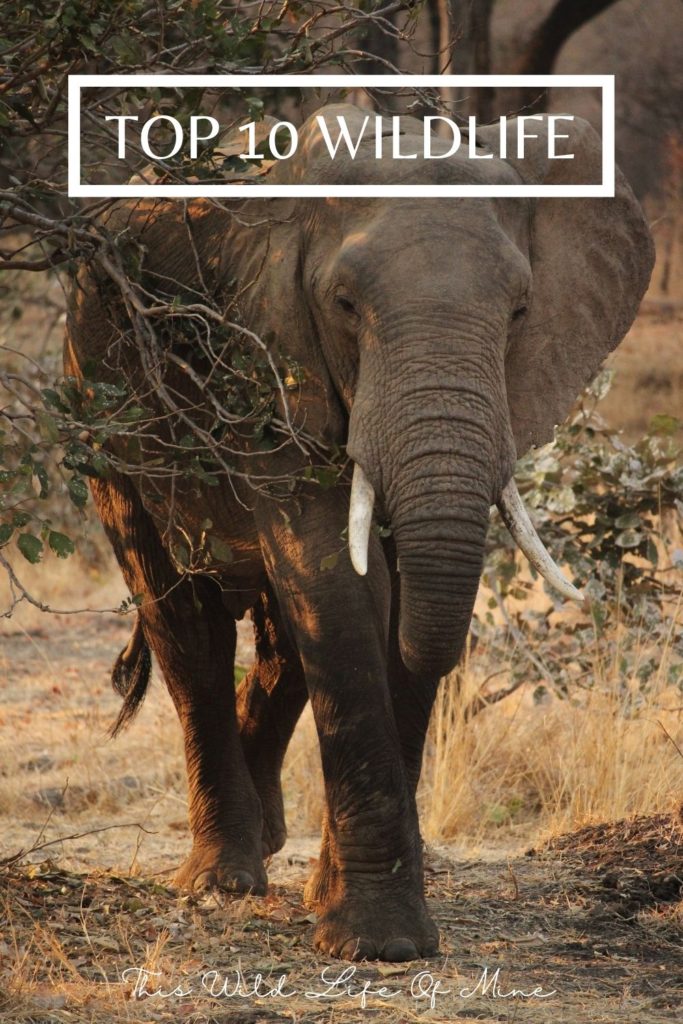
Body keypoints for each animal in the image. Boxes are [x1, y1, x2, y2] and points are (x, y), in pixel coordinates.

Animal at [65, 104, 654, 962]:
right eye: (343, 304)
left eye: (519, 311)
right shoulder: (267, 353)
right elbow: (337, 585)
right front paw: (378, 944)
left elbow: (382, 600)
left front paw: (344, 909)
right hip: (98, 396)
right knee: (185, 620)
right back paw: (221, 881)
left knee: (282, 646)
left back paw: (268, 844)